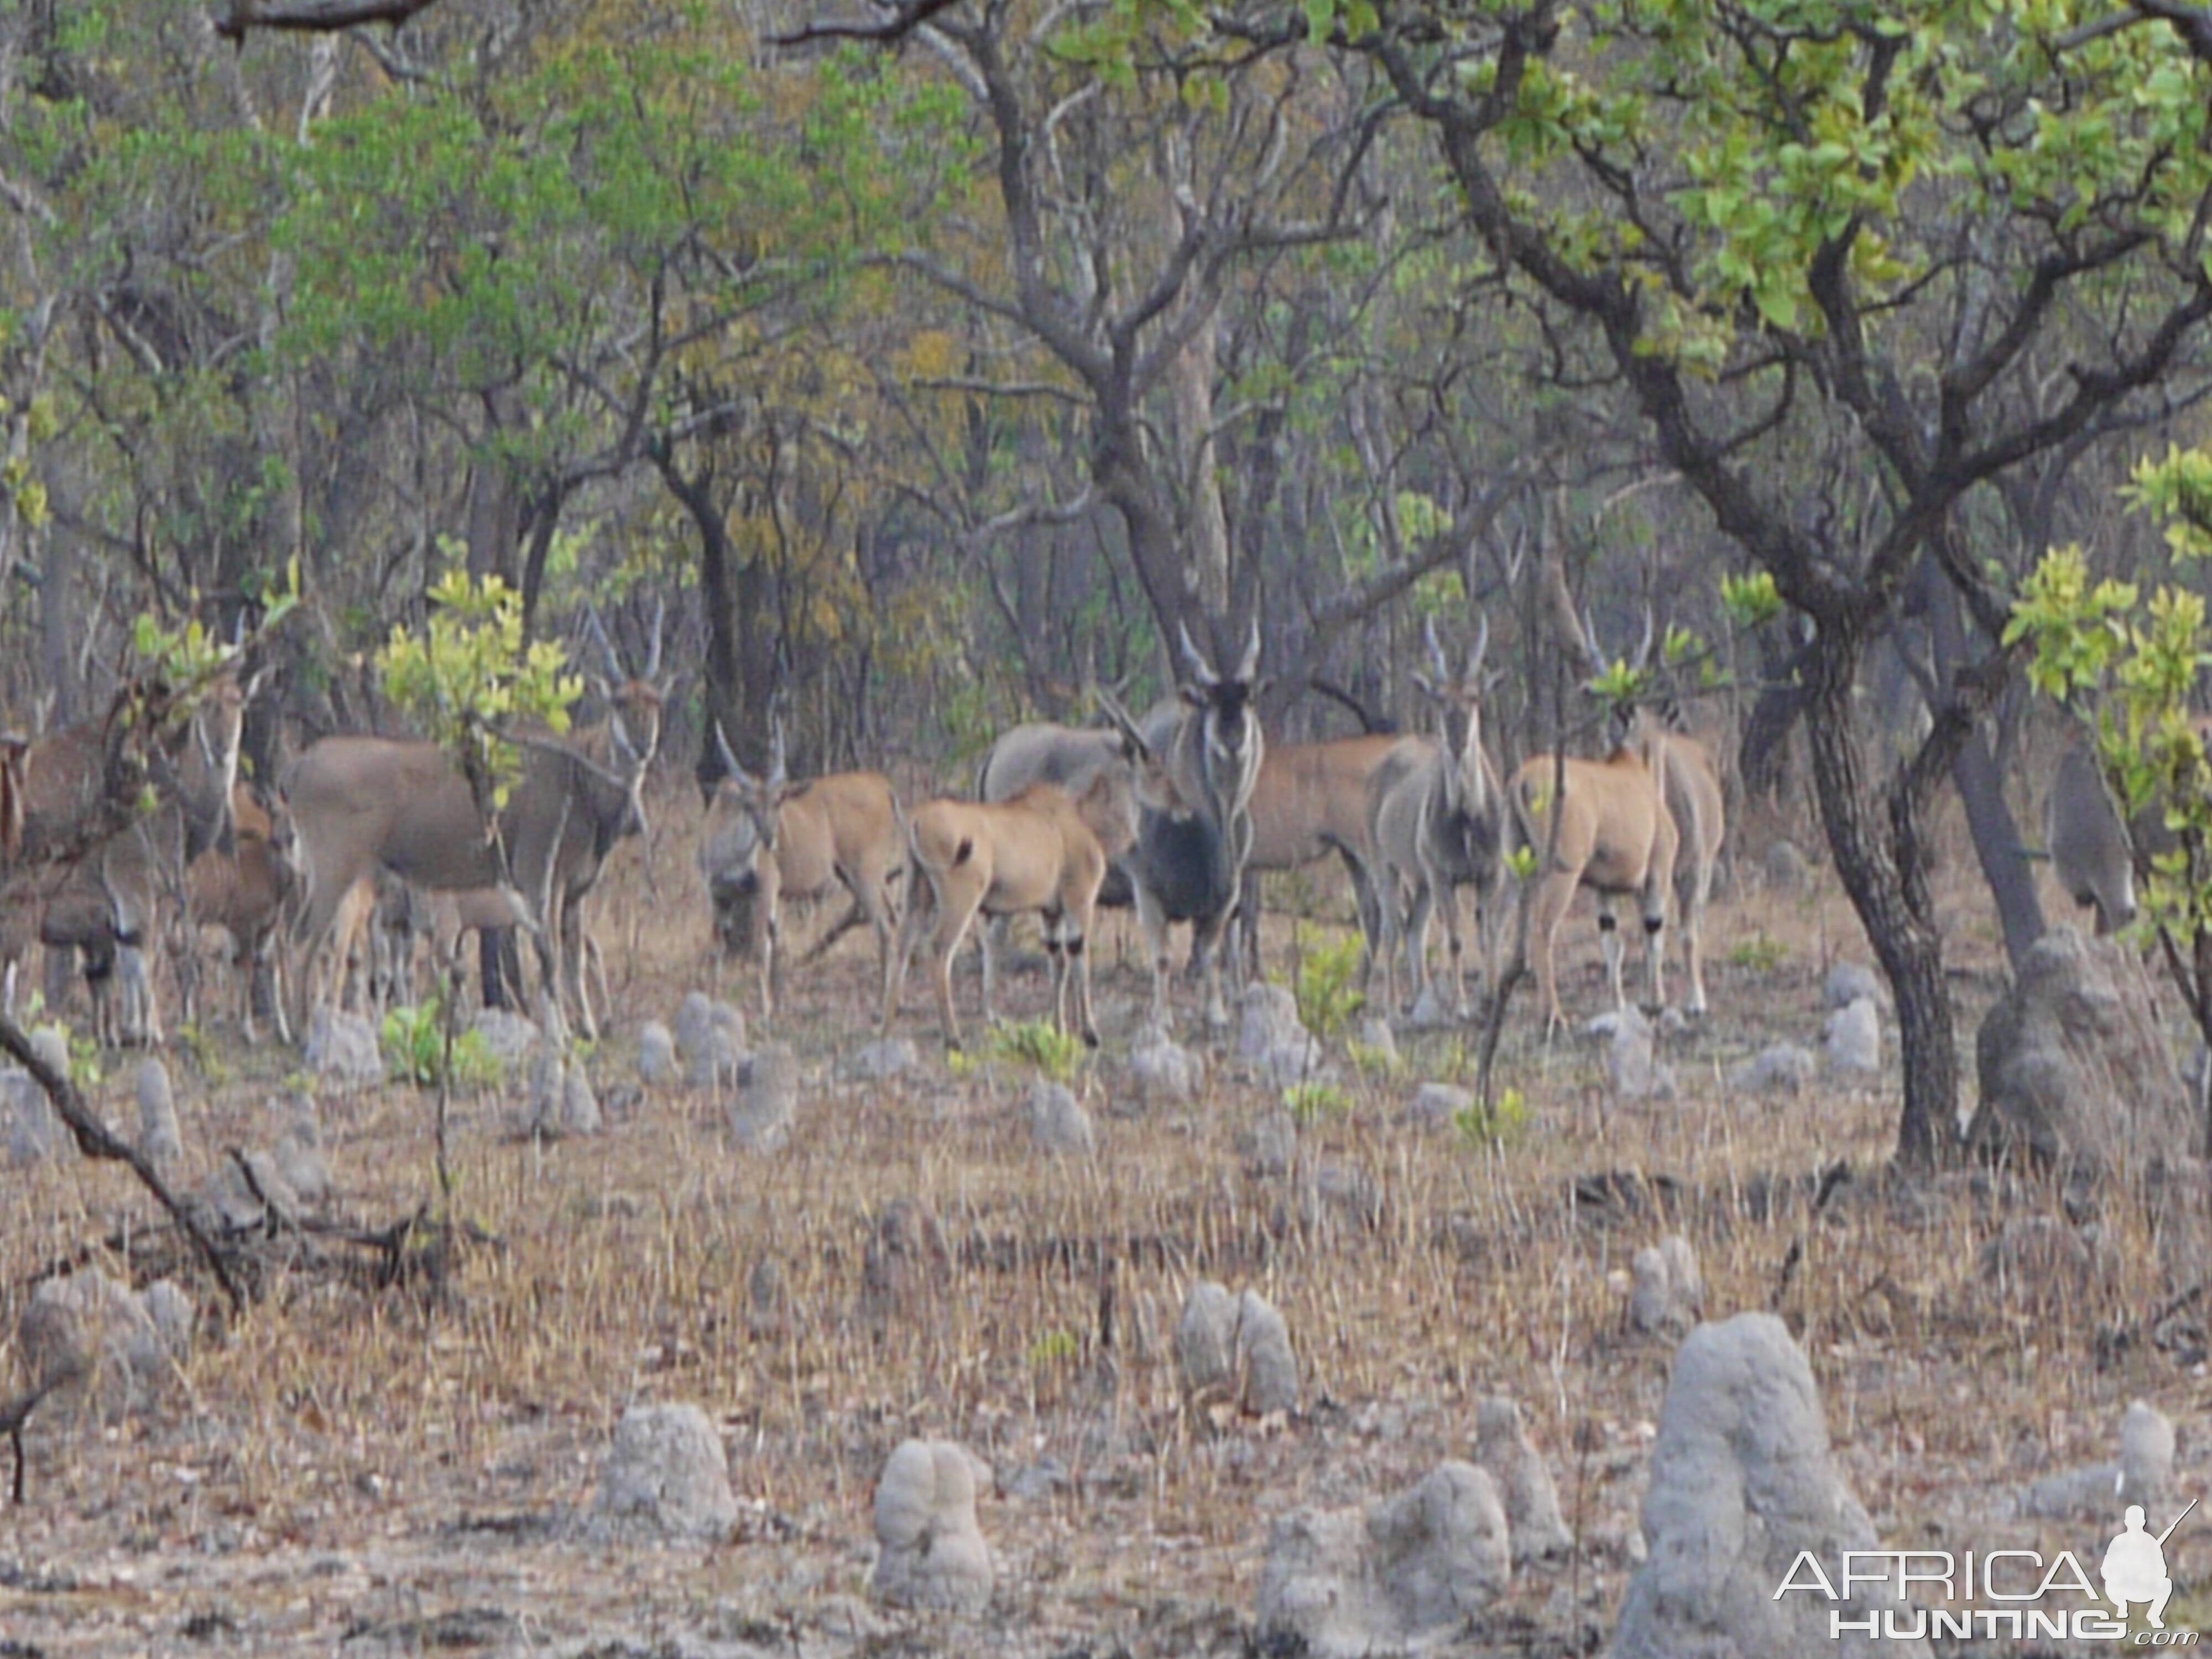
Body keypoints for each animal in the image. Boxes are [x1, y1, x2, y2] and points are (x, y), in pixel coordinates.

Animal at [712, 726, 911, 1026]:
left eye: (779, 802)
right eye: (749, 805)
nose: (770, 841)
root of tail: (883, 786)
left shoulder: (766, 889)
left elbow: (762, 947)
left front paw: (767, 1012)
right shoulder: (720, 897)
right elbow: (724, 947)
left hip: (865, 873)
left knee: (884, 927)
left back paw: (881, 1009)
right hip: (859, 877)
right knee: (895, 919)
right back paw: (896, 1002)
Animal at [880, 770, 1150, 1053]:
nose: (1135, 837)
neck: (1082, 817)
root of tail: (915, 818)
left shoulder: (1051, 913)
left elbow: (1058, 962)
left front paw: (1059, 1028)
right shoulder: (1079, 903)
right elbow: (1079, 960)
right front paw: (1090, 1033)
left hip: (916, 896)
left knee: (901, 945)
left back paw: (886, 1030)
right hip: (960, 900)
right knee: (938, 949)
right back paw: (953, 1037)